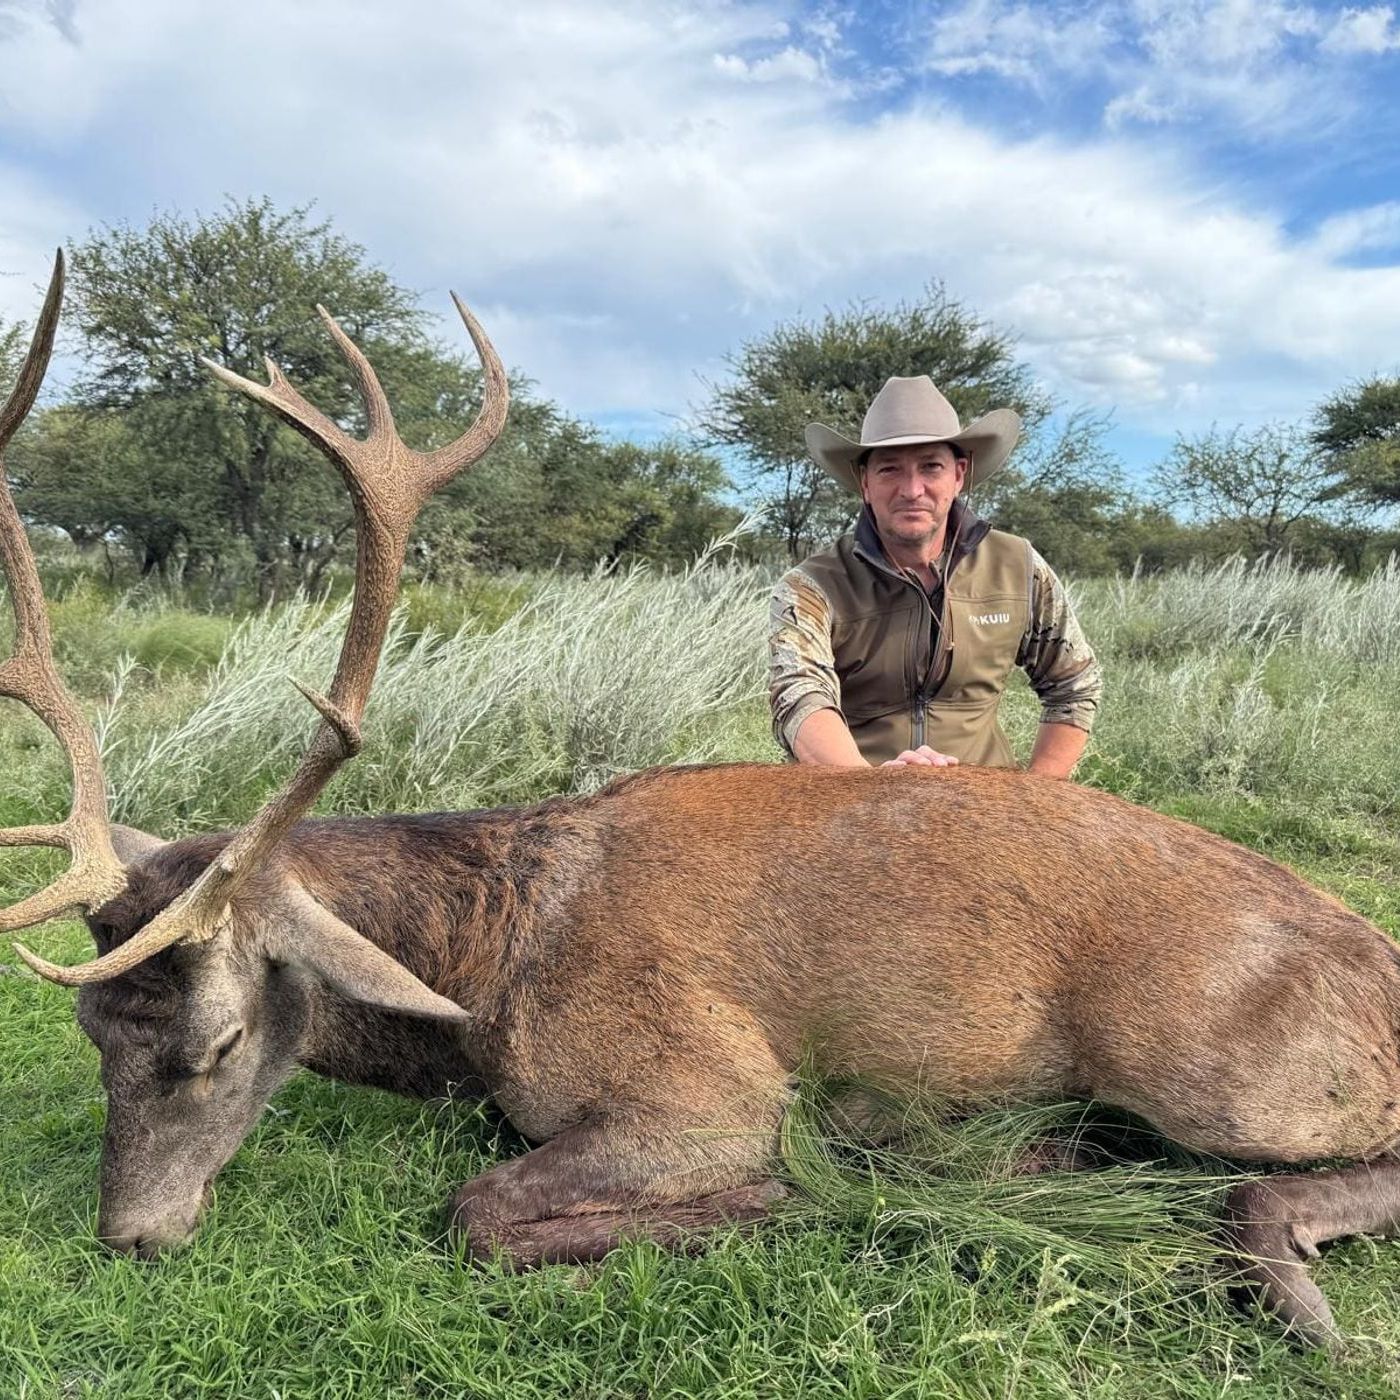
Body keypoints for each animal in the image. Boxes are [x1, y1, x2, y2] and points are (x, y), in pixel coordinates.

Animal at [4, 253, 1400, 1354]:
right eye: (94, 1035)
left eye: (220, 1041)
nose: (130, 1234)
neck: (490, 967)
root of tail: (1373, 957)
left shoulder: (705, 1090)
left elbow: (480, 1213)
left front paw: (816, 1187)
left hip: (1213, 1061)